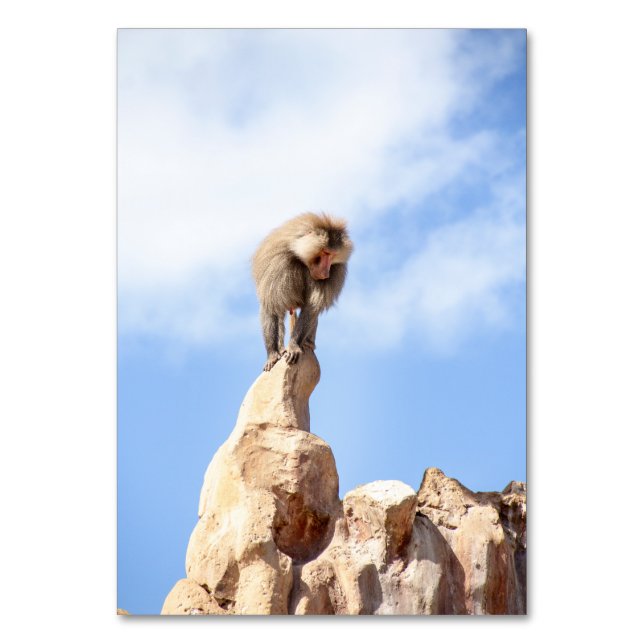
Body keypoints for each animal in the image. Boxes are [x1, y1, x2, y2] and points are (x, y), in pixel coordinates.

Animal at [252, 213, 354, 371]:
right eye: (325, 252)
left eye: (332, 255)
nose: (326, 273)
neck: (300, 257)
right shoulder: (277, 264)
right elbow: (271, 305)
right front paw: (272, 355)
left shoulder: (336, 270)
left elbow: (311, 308)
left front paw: (294, 346)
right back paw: (281, 349)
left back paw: (307, 344)